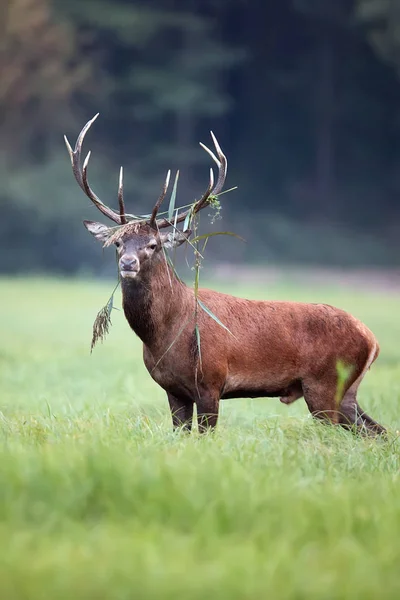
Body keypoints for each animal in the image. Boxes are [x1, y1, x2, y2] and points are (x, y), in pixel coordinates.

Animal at [64, 115, 386, 434]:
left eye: (153, 245)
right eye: (118, 243)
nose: (128, 262)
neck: (165, 335)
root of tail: (372, 339)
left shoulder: (211, 380)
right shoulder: (173, 390)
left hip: (325, 384)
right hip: (346, 393)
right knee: (377, 432)